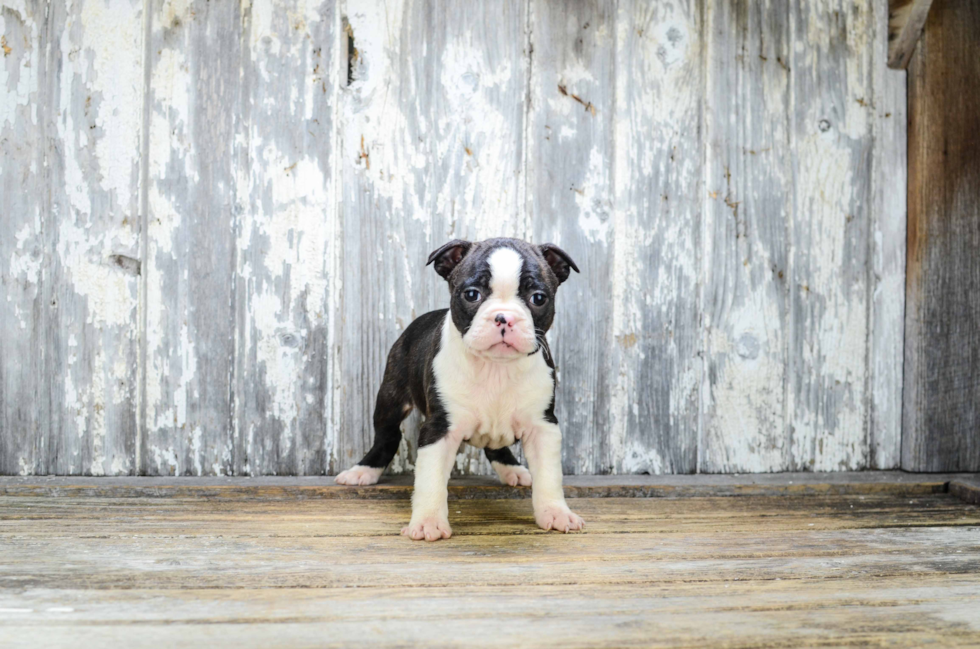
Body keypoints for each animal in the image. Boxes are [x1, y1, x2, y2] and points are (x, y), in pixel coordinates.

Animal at [334, 235, 584, 540]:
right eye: (472, 295)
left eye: (538, 298)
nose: (504, 317)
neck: (495, 368)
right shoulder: (439, 429)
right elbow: (430, 481)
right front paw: (428, 522)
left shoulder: (543, 427)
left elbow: (549, 477)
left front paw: (557, 513)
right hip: (390, 398)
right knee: (386, 436)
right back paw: (363, 471)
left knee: (495, 448)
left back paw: (514, 470)